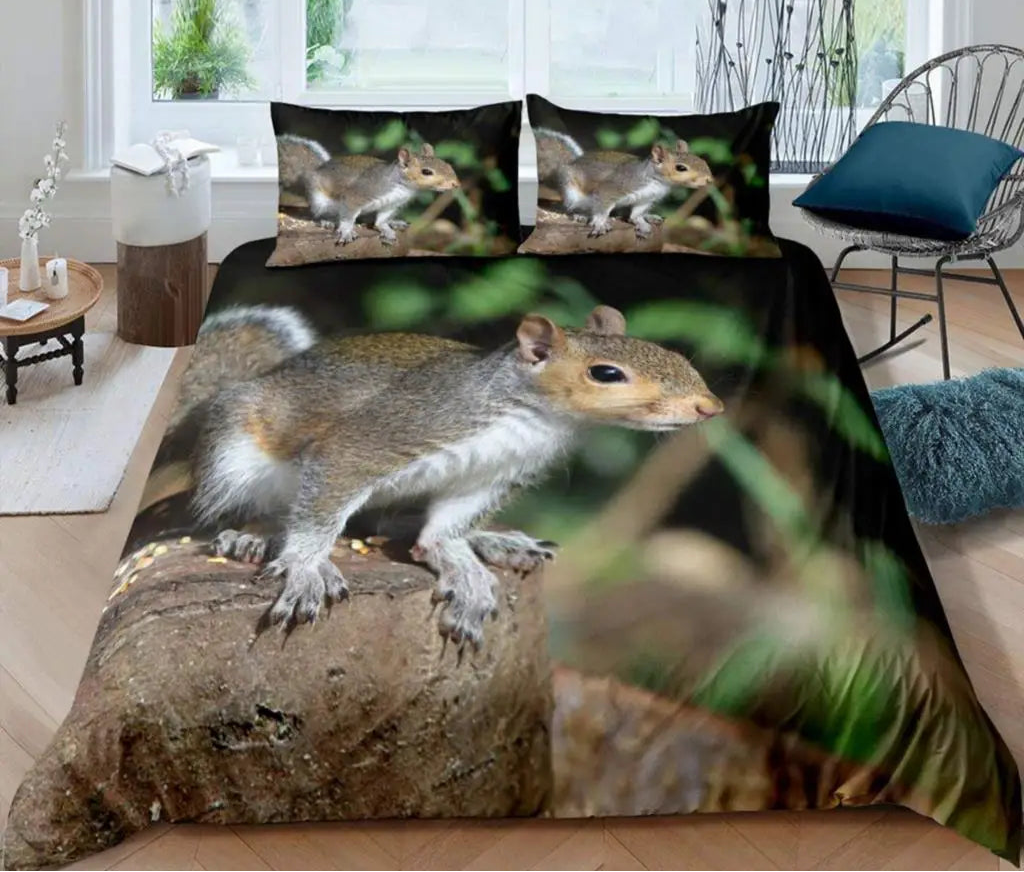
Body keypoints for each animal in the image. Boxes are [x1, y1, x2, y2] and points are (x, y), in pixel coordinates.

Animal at [172, 303, 724, 652]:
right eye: (606, 373)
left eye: (673, 355)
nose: (710, 407)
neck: (535, 418)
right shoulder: (372, 442)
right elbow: (321, 509)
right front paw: (306, 567)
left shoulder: (488, 479)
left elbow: (444, 530)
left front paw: (461, 563)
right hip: (234, 459)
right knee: (248, 507)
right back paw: (254, 536)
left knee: (385, 522)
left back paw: (491, 541)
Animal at [276, 133, 460, 245]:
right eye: (426, 172)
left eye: (447, 164)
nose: (456, 184)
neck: (402, 186)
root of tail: (313, 171)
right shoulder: (359, 195)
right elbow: (348, 216)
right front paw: (346, 231)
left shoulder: (391, 205)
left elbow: (381, 220)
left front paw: (386, 227)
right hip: (319, 201)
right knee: (318, 214)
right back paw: (326, 221)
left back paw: (394, 222)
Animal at [533, 128, 713, 238]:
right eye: (680, 168)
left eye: (702, 160)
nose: (709, 180)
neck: (657, 181)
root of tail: (567, 165)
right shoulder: (614, 188)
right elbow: (603, 207)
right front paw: (600, 223)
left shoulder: (645, 199)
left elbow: (636, 214)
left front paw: (641, 222)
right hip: (571, 192)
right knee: (571, 208)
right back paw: (580, 215)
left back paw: (649, 216)